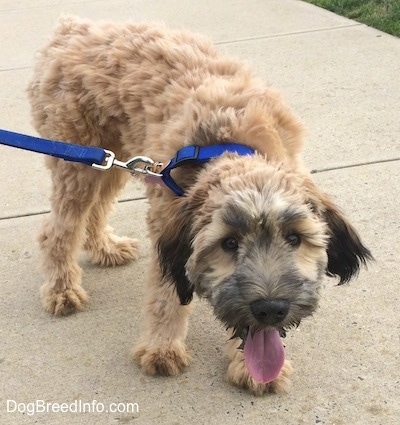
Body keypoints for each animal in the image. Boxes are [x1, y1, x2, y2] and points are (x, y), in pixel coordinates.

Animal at [28, 16, 372, 394]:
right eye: (229, 243)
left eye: (294, 238)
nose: (270, 309)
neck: (232, 145)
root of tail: (74, 26)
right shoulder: (168, 232)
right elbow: (166, 298)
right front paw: (162, 349)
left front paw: (253, 369)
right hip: (77, 159)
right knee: (57, 231)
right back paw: (62, 290)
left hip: (109, 158)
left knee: (97, 209)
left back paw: (106, 248)